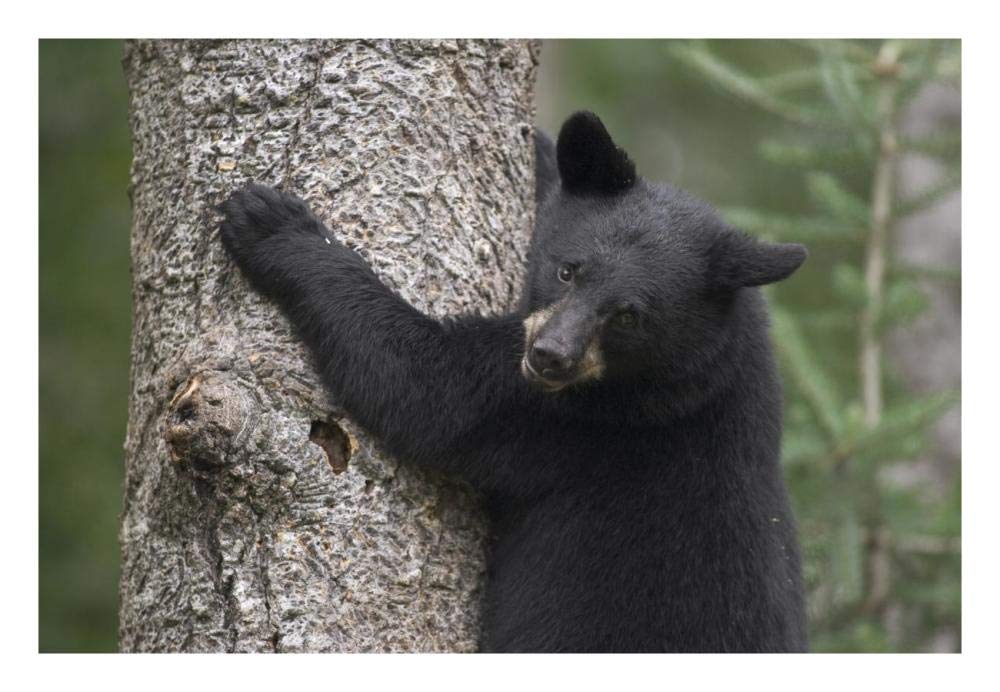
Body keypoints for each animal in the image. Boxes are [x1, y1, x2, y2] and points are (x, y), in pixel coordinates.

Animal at [220, 111, 809, 652]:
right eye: (568, 269)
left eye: (628, 316)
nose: (550, 356)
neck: (708, 361)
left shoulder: (588, 419)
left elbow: (426, 389)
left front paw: (274, 225)